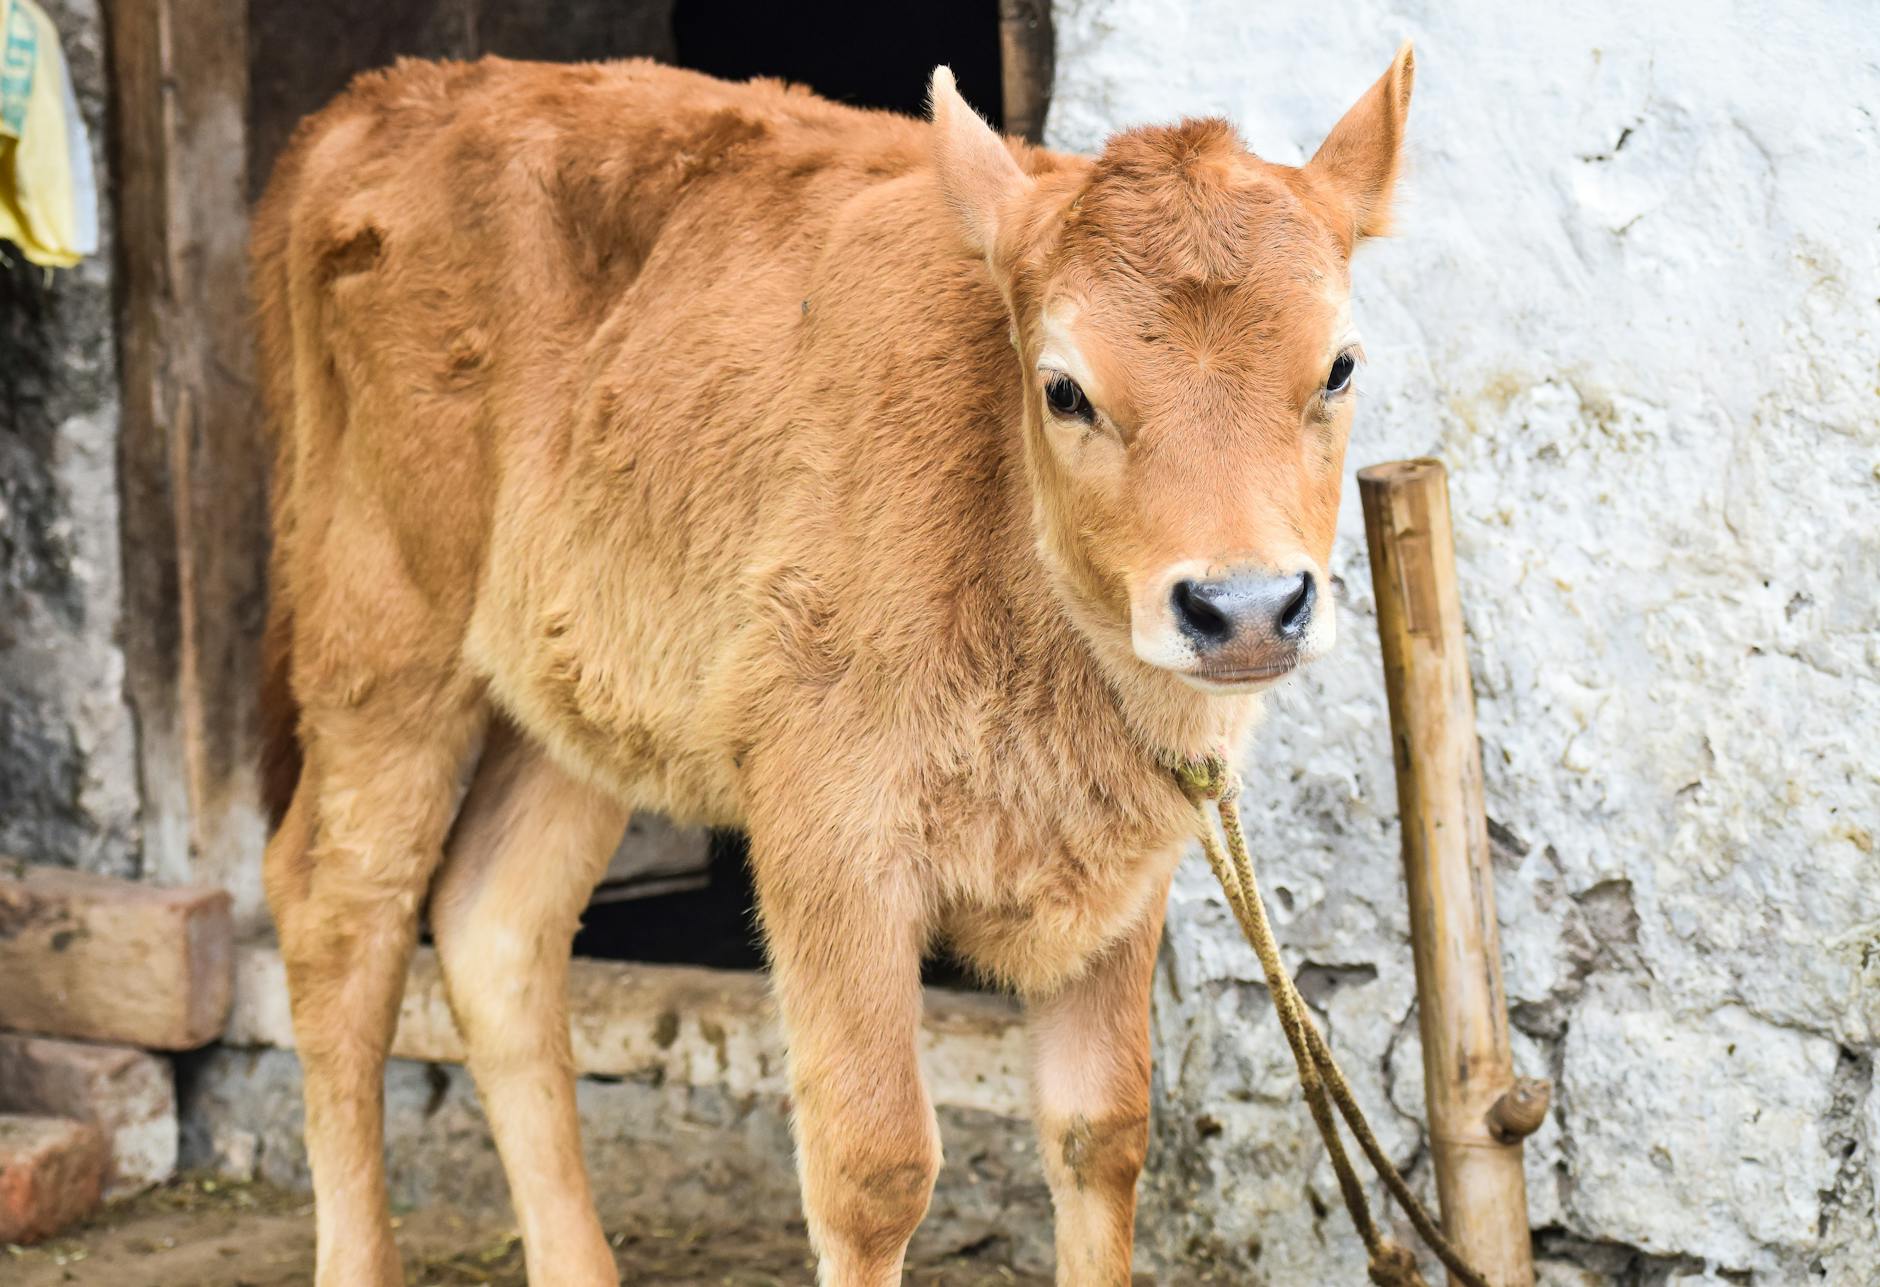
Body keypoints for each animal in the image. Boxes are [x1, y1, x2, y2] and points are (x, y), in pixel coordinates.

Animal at [252, 44, 1413, 1286]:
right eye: (1064, 389)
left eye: (1338, 367)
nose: (1241, 609)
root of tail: (390, 99)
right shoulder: (829, 837)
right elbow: (874, 1167)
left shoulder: (1123, 863)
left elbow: (1100, 1134)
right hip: (382, 641)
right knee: (339, 916)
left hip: (572, 691)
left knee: (493, 925)